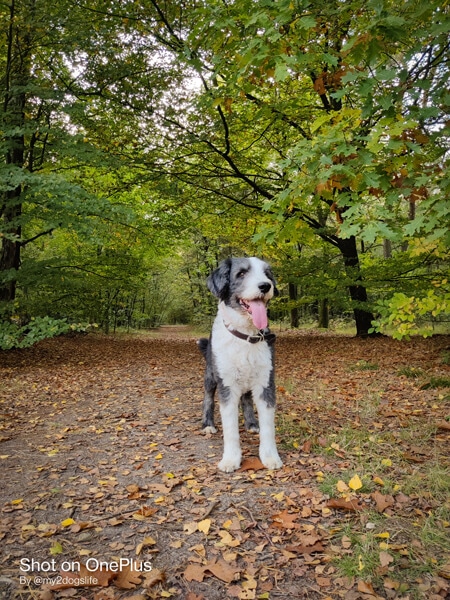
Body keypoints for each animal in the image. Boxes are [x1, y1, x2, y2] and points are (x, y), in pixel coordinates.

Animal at [197, 258, 282, 474]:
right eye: (241, 273)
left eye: (267, 274)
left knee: (246, 400)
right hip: (211, 375)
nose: (265, 286)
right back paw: (207, 424)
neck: (246, 336)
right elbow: (230, 429)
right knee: (208, 398)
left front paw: (270, 456)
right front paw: (230, 459)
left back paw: (251, 423)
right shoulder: (227, 386)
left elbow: (268, 427)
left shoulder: (266, 383)